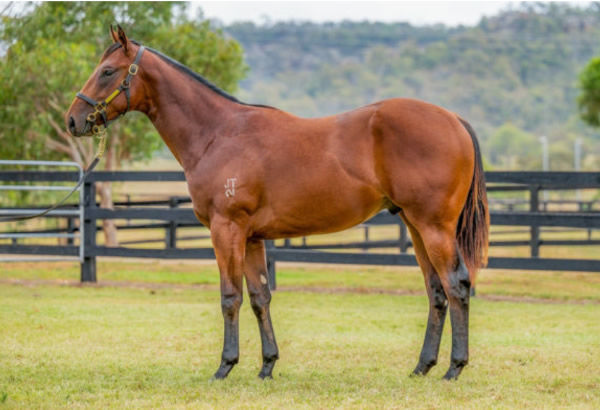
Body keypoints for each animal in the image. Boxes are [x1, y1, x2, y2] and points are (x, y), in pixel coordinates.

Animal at [65, 27, 488, 382]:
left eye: (106, 71)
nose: (73, 120)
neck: (218, 134)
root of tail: (454, 119)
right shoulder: (252, 237)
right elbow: (259, 298)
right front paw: (267, 366)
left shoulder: (227, 229)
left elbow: (230, 298)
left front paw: (225, 366)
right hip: (416, 227)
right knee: (435, 290)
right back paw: (422, 366)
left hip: (434, 227)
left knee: (456, 284)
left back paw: (454, 368)